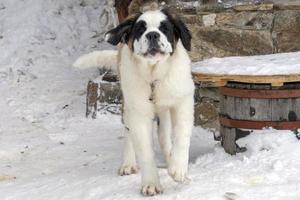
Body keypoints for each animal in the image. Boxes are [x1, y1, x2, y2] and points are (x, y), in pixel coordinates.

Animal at [74, 8, 193, 196]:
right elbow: (144, 150)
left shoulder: (183, 100)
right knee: (129, 132)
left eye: (164, 28)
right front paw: (151, 183)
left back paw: (169, 158)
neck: (153, 77)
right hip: (128, 102)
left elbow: (181, 135)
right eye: (140, 29)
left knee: (163, 135)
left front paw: (178, 168)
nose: (152, 34)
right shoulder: (138, 112)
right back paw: (128, 163)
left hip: (163, 109)